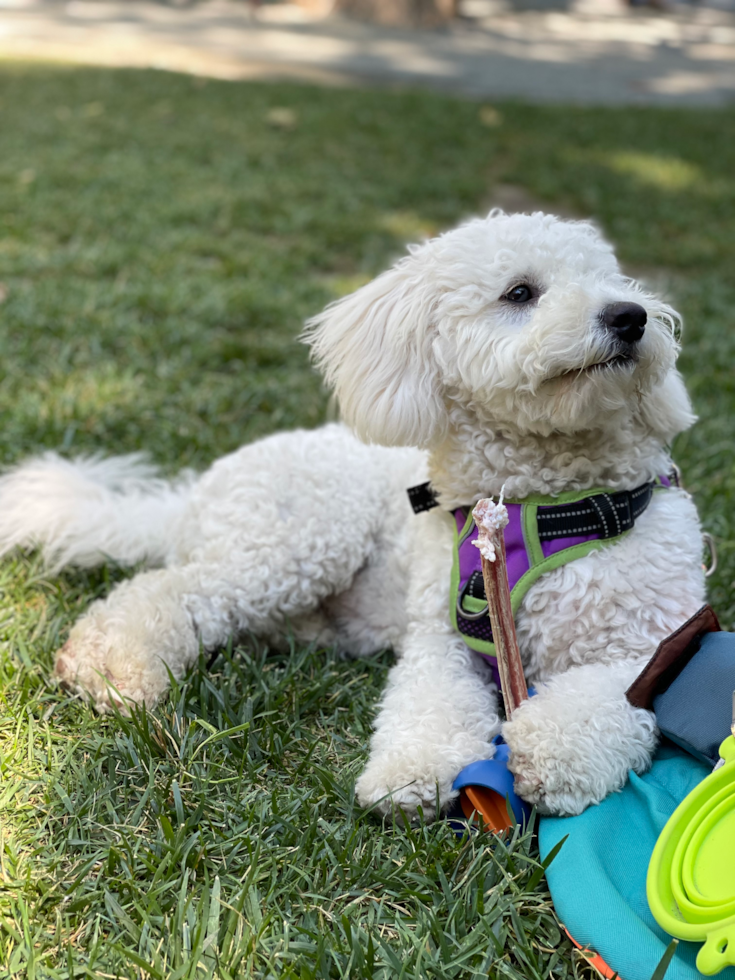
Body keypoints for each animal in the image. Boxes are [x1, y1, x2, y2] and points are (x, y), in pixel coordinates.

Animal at [0, 214, 708, 820]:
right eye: (520, 292)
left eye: (613, 281)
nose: (630, 316)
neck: (543, 509)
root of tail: (195, 494)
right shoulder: (441, 638)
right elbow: (427, 704)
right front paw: (412, 771)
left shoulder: (662, 641)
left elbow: (608, 691)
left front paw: (551, 751)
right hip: (297, 542)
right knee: (168, 592)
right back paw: (114, 663)